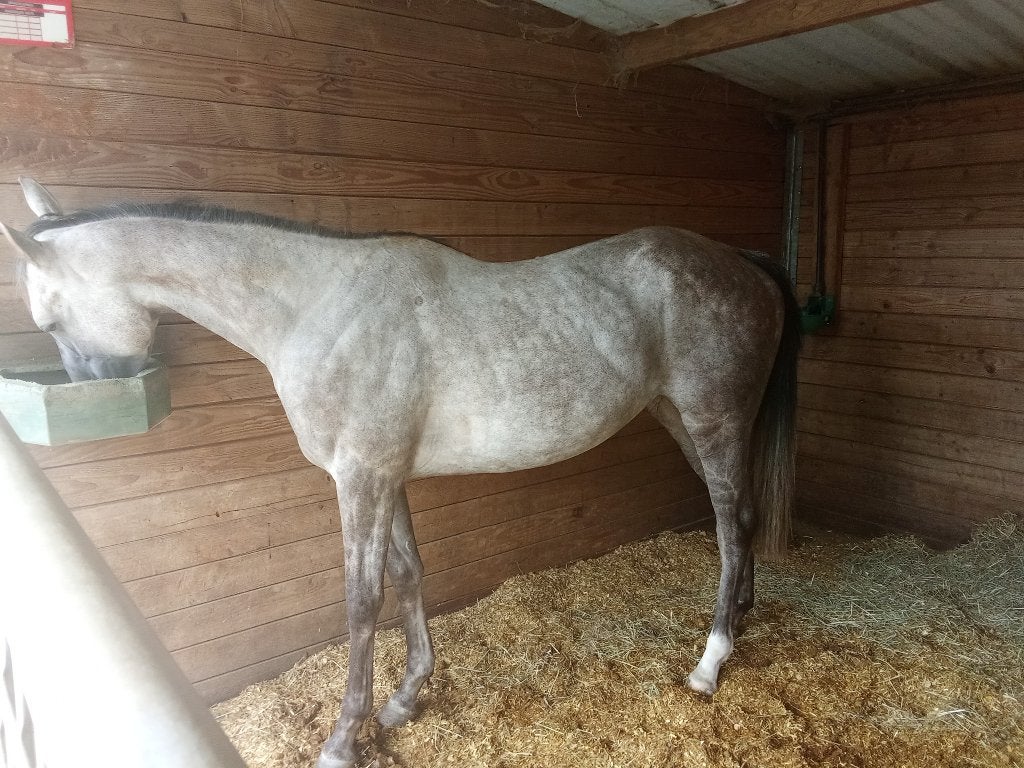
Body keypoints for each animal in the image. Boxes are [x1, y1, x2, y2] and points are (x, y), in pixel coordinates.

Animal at [4, 177, 800, 768]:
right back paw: (741, 618)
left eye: (47, 320)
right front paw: (406, 698)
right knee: (740, 520)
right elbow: (410, 575)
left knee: (731, 527)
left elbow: (362, 602)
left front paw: (342, 739)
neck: (316, 305)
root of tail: (743, 262)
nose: (94, 383)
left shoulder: (358, 477)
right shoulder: (387, 477)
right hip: (680, 419)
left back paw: (711, 661)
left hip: (714, 421)